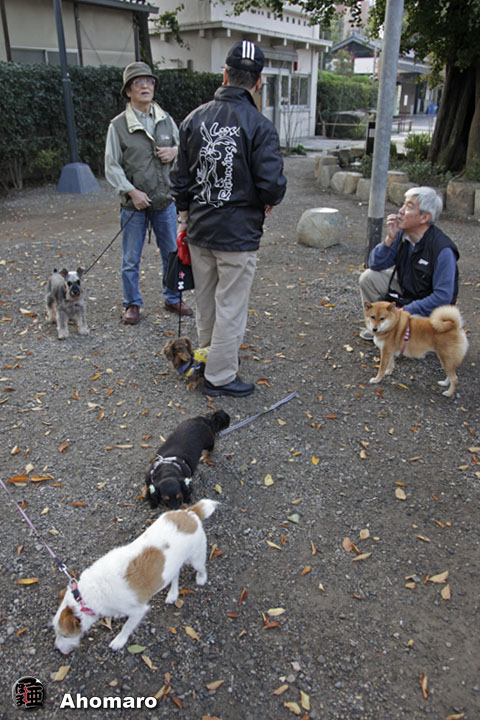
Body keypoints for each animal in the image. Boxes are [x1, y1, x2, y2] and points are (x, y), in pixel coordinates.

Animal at [52, 499, 218, 654]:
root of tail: (190, 513)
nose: (57, 649)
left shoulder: (139, 611)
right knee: (175, 575)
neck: (88, 594)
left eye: (65, 635)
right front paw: (119, 615)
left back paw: (201, 578)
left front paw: (119, 641)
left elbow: (126, 627)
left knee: (202, 568)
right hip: (171, 565)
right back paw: (172, 594)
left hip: (196, 558)